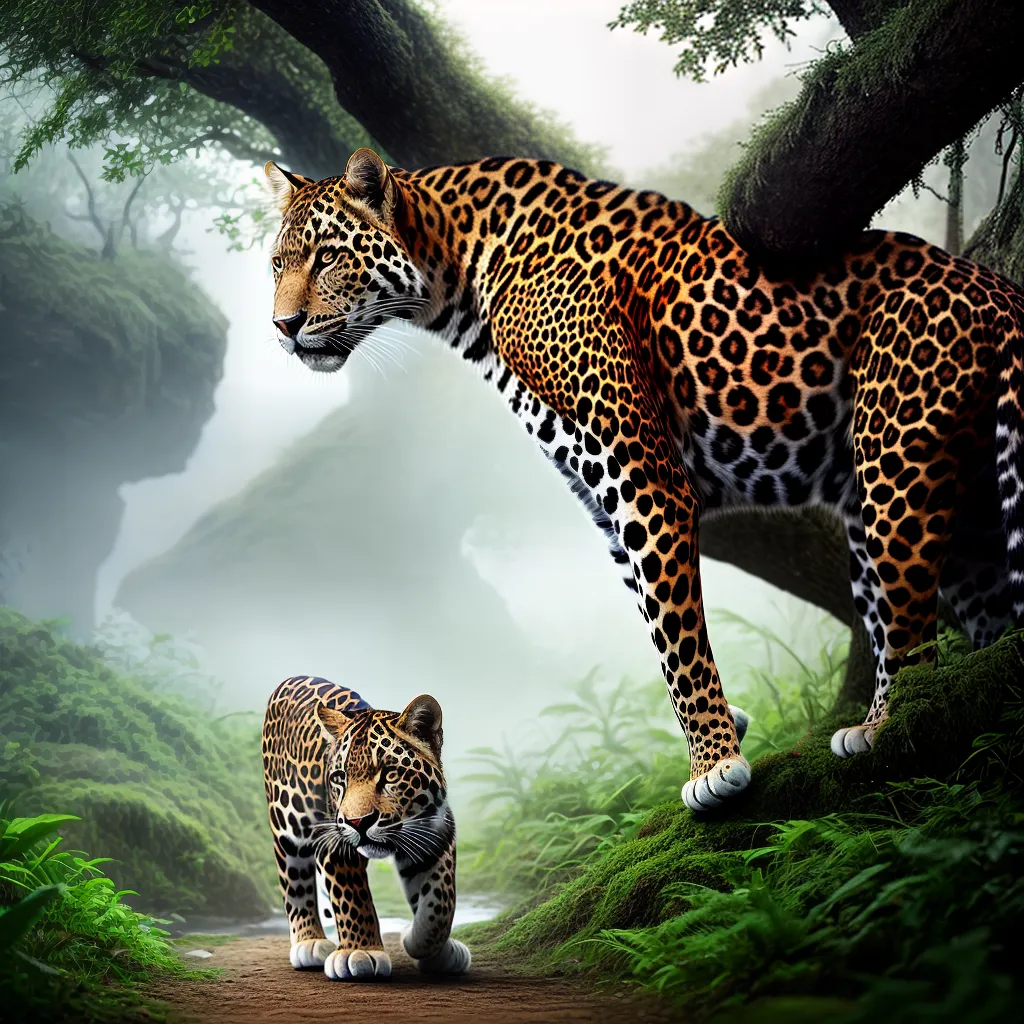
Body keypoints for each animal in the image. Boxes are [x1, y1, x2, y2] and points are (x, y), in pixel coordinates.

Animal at [262, 674, 471, 980]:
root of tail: (291, 679)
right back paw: (309, 942)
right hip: (288, 821)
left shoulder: (437, 833)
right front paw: (361, 951)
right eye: (340, 778)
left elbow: (441, 902)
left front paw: (423, 944)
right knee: (294, 878)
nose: (357, 822)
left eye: (390, 775)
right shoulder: (335, 840)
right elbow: (352, 897)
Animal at [264, 149, 1024, 812]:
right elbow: (656, 628)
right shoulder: (601, 494)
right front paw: (724, 733)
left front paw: (716, 766)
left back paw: (882, 728)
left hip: (895, 463)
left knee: (913, 634)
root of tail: (991, 283)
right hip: (961, 512)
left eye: (328, 255)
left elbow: (679, 640)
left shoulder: (642, 477)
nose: (284, 326)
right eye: (277, 263)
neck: (458, 277)